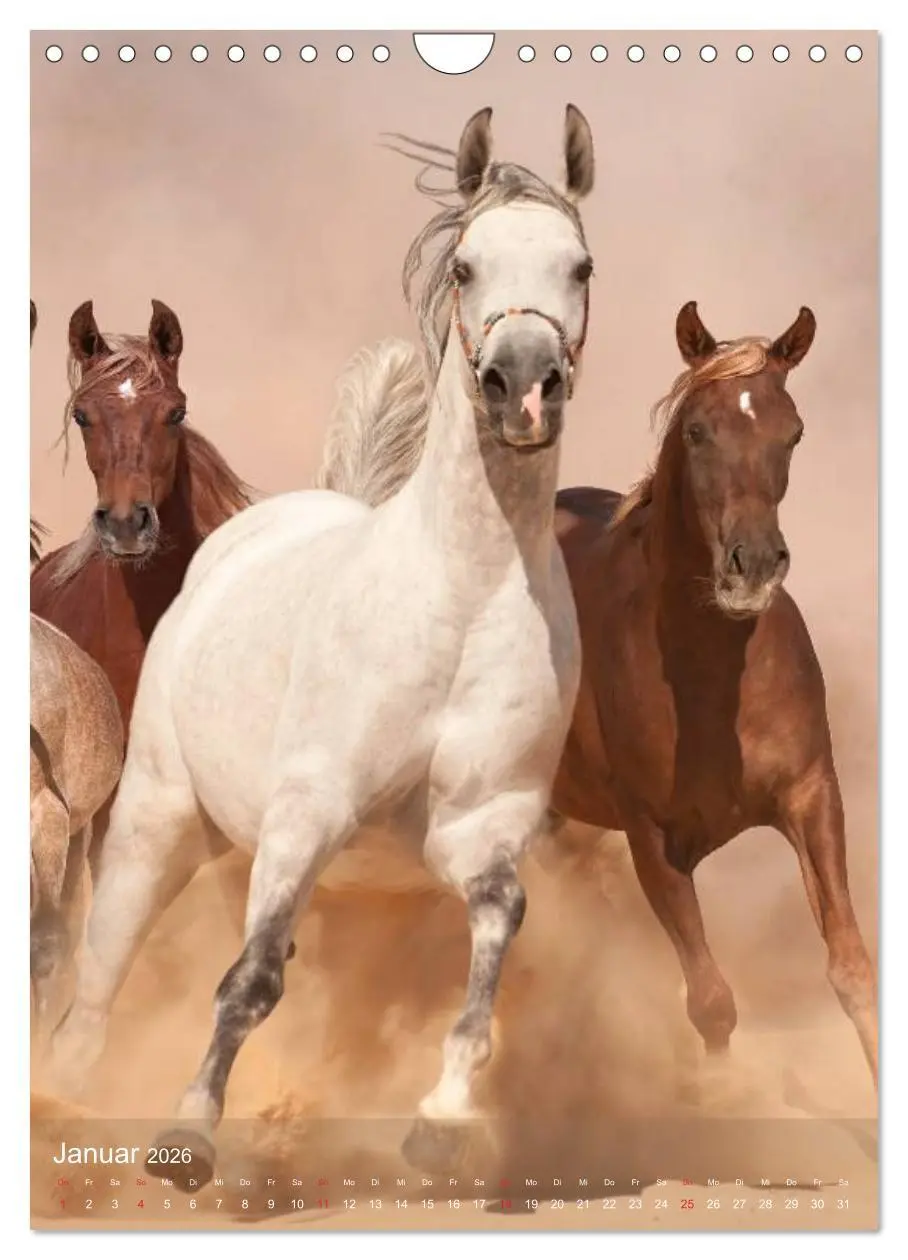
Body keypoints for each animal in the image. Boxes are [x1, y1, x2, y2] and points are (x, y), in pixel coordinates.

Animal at [548, 301, 877, 1088]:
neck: (713, 681)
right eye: (697, 430)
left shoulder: (811, 795)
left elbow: (852, 969)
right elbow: (712, 1004)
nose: (752, 565)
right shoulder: (651, 839)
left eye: (793, 431)